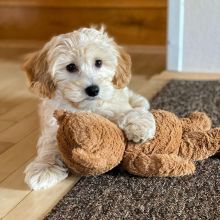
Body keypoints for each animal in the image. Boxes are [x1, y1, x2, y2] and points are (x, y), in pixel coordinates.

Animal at [23, 27, 156, 189]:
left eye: (98, 62)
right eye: (71, 67)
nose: (93, 90)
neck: (88, 107)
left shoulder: (113, 103)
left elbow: (125, 111)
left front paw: (138, 125)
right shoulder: (52, 125)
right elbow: (49, 145)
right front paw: (44, 168)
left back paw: (139, 101)